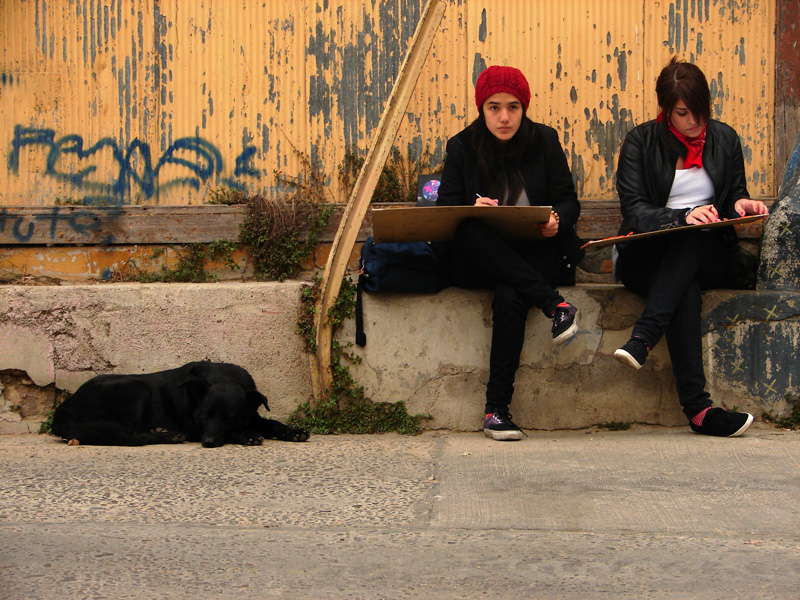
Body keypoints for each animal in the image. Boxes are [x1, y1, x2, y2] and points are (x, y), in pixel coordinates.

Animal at [51, 358, 310, 448]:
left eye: (230, 418)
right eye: (204, 416)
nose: (207, 443)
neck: (223, 378)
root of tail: (63, 409)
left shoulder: (252, 414)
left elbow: (273, 423)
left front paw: (293, 431)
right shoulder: (194, 427)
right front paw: (247, 435)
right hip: (137, 388)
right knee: (132, 435)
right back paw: (167, 435)